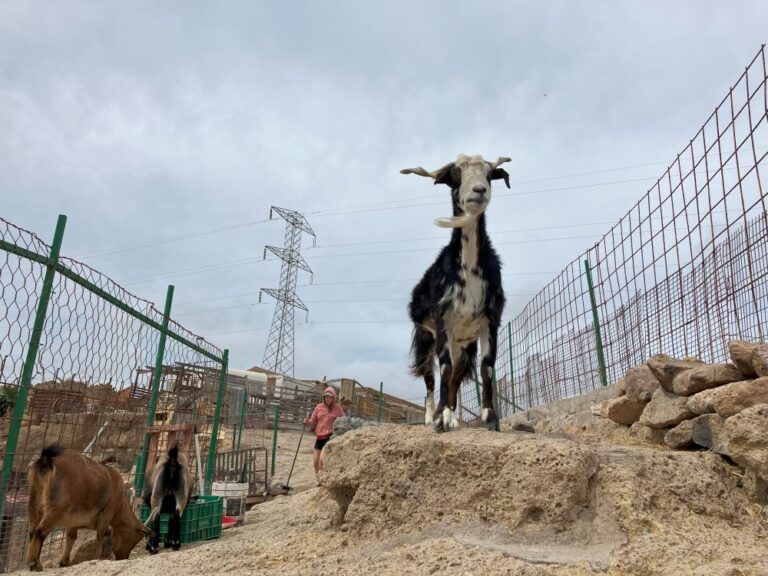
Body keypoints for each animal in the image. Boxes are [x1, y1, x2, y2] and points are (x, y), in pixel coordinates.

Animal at [25, 444, 153, 568]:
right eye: (136, 538)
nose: (123, 557)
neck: (120, 501)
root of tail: (47, 460)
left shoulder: (75, 521)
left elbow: (72, 537)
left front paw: (64, 562)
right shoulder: (106, 514)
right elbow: (100, 536)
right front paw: (97, 557)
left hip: (35, 501)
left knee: (32, 530)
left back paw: (36, 563)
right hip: (56, 508)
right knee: (40, 531)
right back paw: (34, 563)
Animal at [402, 153, 510, 432]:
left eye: (488, 174)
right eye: (455, 175)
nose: (479, 190)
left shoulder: (490, 320)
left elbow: (487, 368)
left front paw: (490, 418)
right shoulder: (443, 319)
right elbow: (445, 368)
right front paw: (440, 418)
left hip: (463, 345)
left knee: (456, 378)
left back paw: (453, 415)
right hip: (426, 339)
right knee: (430, 377)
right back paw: (431, 415)